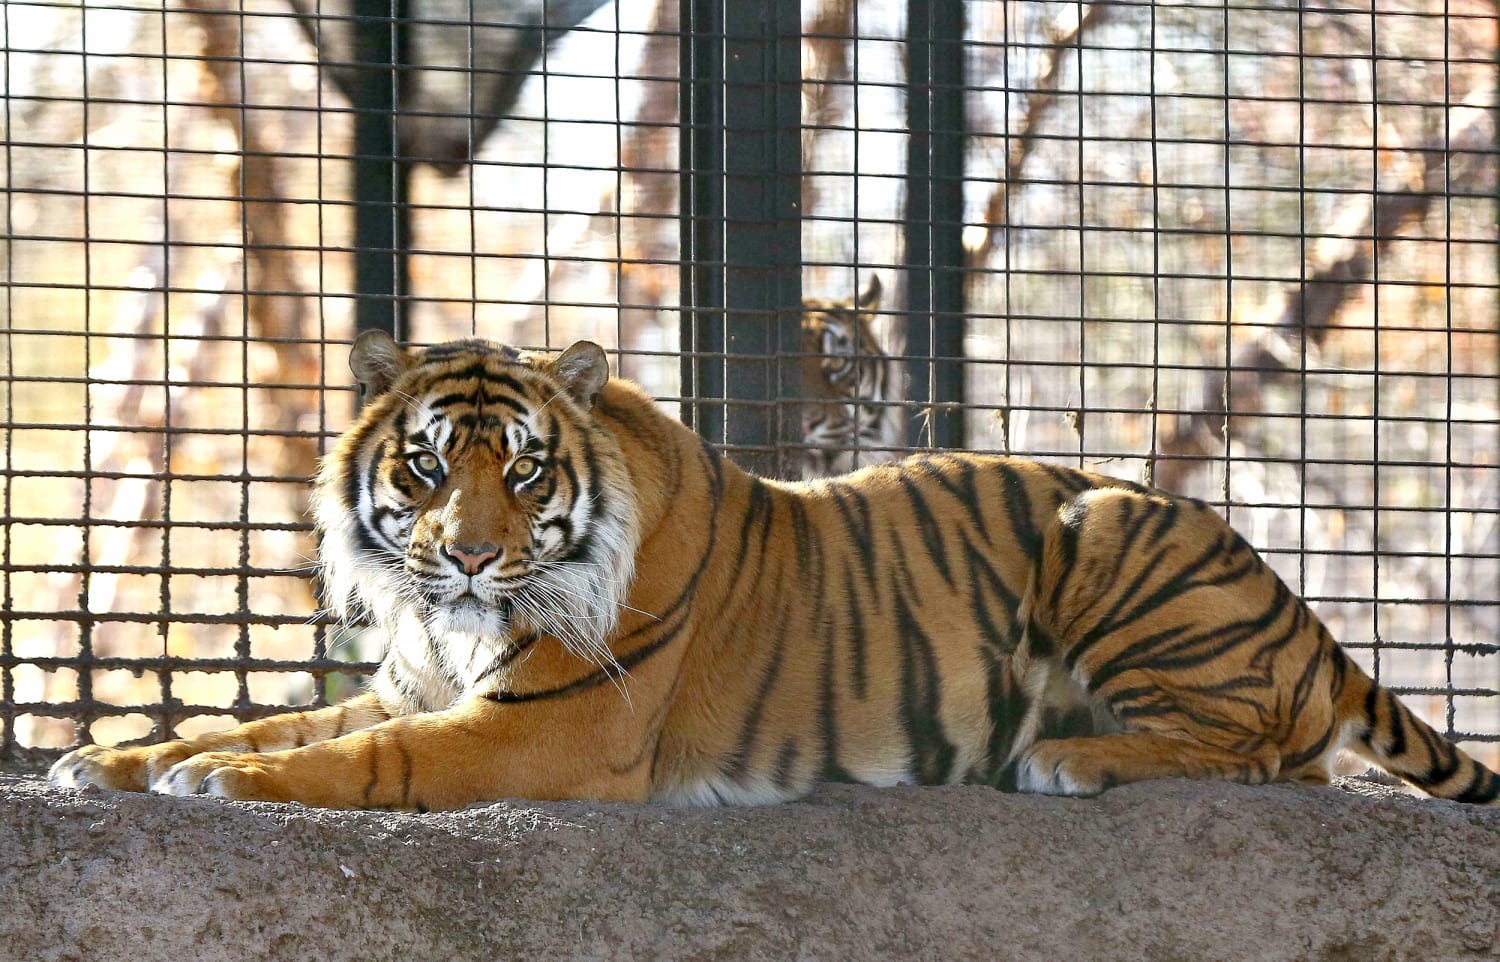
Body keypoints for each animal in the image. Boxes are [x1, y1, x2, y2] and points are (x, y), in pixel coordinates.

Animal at [49, 333, 1499, 810]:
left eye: (521, 470)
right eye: (424, 466)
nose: (464, 554)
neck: (446, 624)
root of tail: (1312, 623)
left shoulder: (545, 728)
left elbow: (356, 759)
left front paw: (221, 783)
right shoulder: (419, 678)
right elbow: (274, 716)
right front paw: (112, 758)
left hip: (1104, 524)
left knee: (1271, 751)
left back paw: (1070, 754)